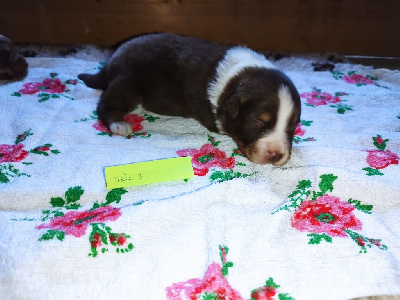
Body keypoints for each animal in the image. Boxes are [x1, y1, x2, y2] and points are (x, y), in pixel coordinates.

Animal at [79, 32, 300, 166]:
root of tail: (112, 59)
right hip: (128, 84)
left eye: (292, 126)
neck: (237, 77)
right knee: (104, 105)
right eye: (258, 122)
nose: (277, 155)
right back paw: (119, 124)